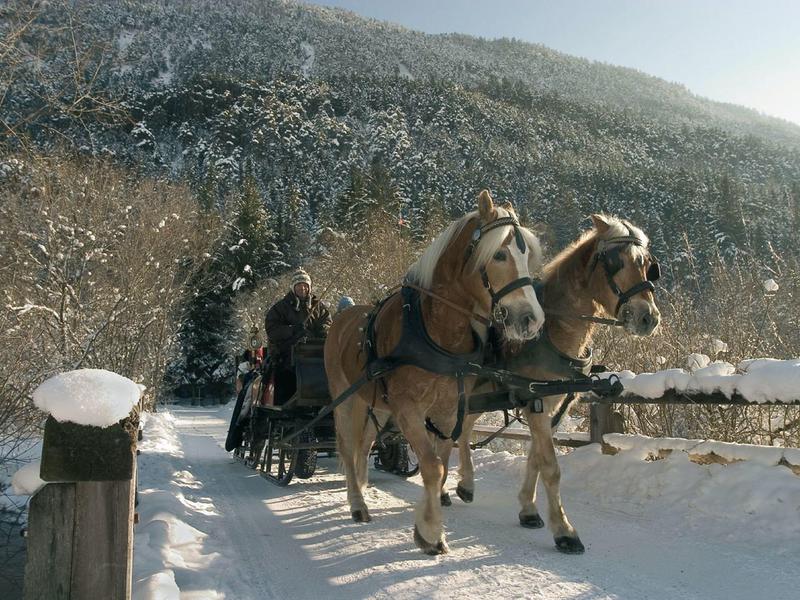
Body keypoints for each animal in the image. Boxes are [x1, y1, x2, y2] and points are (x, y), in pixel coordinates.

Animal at [324, 190, 545, 555]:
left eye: (526, 256)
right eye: (499, 254)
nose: (531, 319)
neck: (437, 330)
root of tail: (340, 317)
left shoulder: (446, 412)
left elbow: (439, 469)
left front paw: (429, 524)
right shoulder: (408, 409)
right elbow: (431, 465)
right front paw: (429, 531)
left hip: (376, 405)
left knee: (364, 443)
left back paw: (364, 486)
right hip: (345, 399)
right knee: (346, 444)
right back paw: (357, 503)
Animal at [449, 213, 662, 554]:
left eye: (648, 265)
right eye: (615, 263)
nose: (648, 318)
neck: (553, 330)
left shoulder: (550, 403)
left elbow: (536, 458)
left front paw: (528, 510)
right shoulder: (534, 402)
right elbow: (550, 465)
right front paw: (564, 530)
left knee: (465, 429)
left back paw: (465, 485)